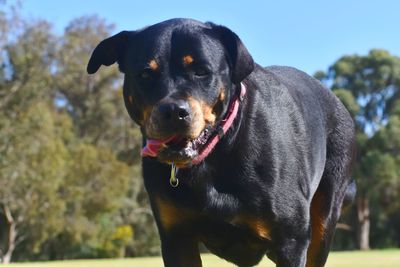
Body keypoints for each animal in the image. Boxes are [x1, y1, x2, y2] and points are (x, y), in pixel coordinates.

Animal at [88, 18, 356, 267]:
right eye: (145, 73)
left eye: (201, 71)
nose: (174, 111)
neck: (217, 150)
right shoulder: (176, 238)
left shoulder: (291, 240)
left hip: (324, 219)